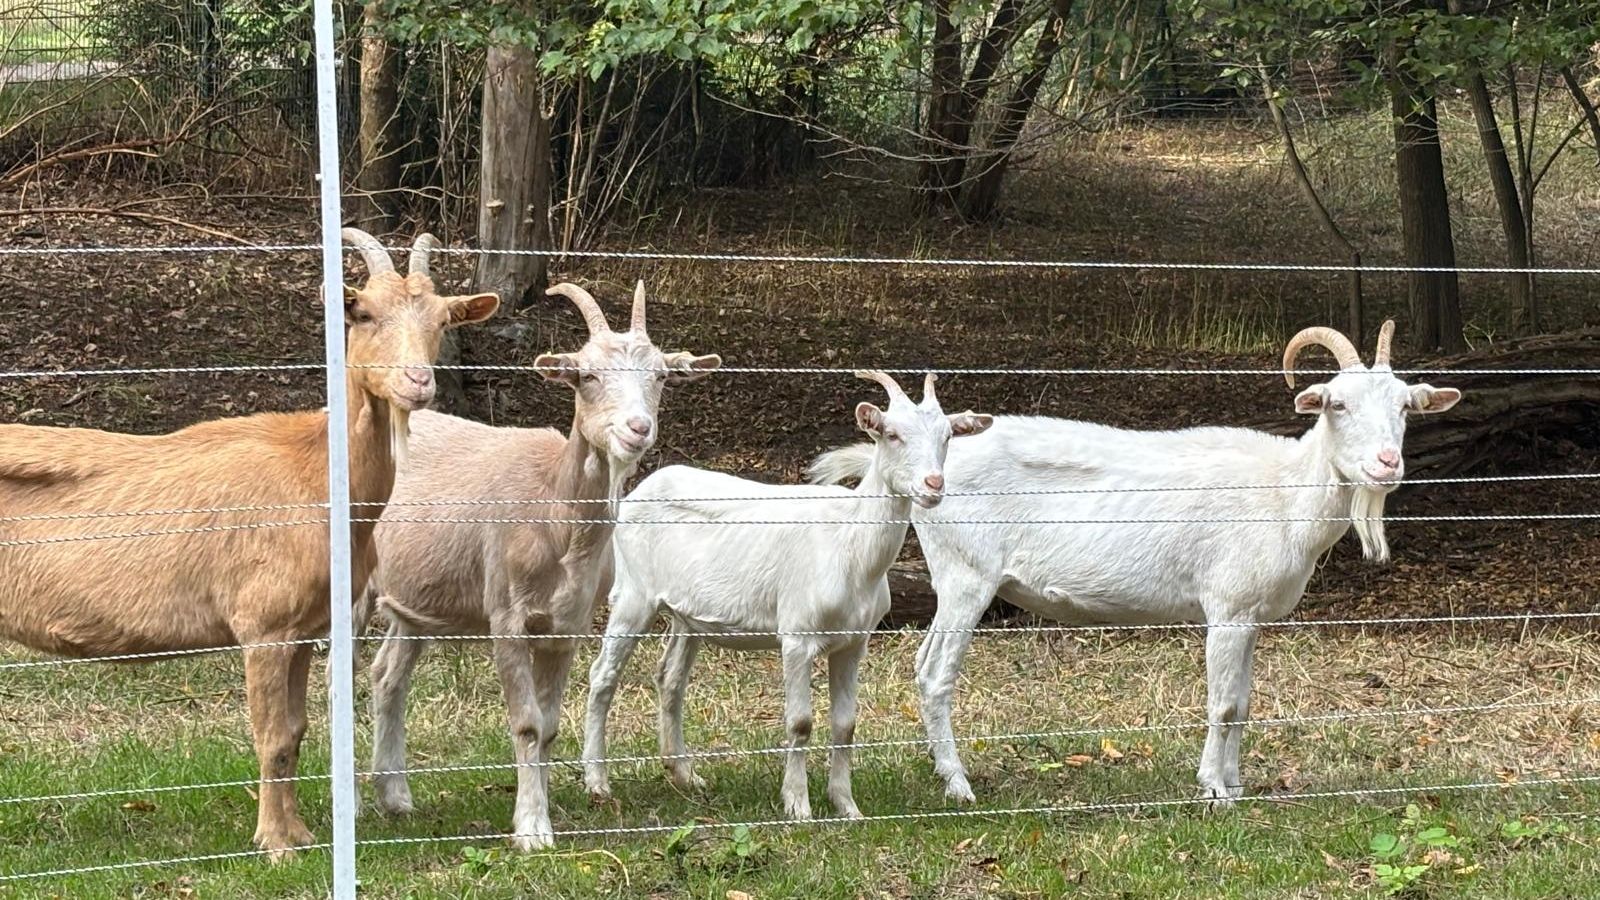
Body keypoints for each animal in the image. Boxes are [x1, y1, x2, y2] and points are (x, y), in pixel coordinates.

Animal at [0, 230, 498, 856]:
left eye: (441, 319)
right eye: (362, 312)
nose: (418, 382)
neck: (317, 473)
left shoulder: (307, 628)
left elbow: (297, 730)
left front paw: (300, 832)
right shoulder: (264, 625)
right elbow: (271, 736)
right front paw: (276, 843)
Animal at [365, 281, 719, 850]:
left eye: (661, 376)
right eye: (587, 375)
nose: (637, 428)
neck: (553, 508)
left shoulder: (566, 626)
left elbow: (549, 726)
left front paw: (543, 811)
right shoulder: (507, 617)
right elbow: (527, 723)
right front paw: (531, 830)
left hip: (415, 603)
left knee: (387, 676)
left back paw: (395, 797)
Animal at [582, 371, 993, 820]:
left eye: (947, 437)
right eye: (892, 434)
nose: (933, 485)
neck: (850, 543)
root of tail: (639, 489)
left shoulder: (854, 642)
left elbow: (846, 723)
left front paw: (847, 806)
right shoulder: (797, 635)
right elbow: (800, 722)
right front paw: (798, 806)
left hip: (686, 614)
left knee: (670, 678)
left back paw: (685, 775)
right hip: (634, 593)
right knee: (602, 676)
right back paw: (597, 782)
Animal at [810, 323, 1461, 805]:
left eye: (1407, 406)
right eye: (1337, 404)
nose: (1387, 464)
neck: (1282, 490)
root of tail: (927, 465)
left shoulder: (1249, 616)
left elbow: (1243, 704)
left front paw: (1236, 785)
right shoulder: (1225, 609)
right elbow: (1223, 703)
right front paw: (1213, 791)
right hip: (966, 576)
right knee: (934, 672)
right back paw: (958, 783)